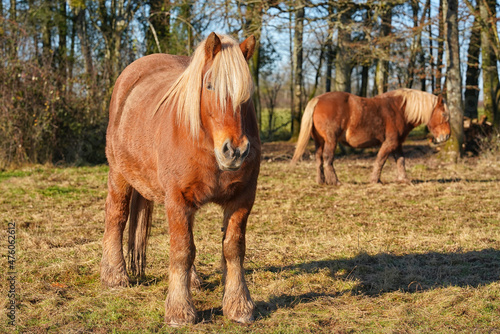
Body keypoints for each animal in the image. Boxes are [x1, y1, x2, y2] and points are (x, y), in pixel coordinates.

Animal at [100, 34, 260, 326]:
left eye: (247, 94)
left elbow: (232, 248)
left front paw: (239, 306)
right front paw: (179, 311)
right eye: (209, 85)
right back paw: (115, 276)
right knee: (116, 217)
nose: (235, 151)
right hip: (119, 174)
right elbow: (182, 250)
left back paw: (193, 280)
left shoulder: (242, 198)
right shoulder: (177, 198)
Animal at [292, 88, 452, 185]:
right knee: (327, 158)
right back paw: (335, 181)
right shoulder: (390, 142)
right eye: (444, 114)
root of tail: (318, 99)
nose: (446, 136)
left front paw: (404, 179)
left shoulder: (397, 143)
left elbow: (401, 161)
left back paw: (321, 181)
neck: (400, 110)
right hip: (331, 140)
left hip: (319, 141)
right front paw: (375, 180)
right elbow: (380, 160)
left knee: (319, 159)